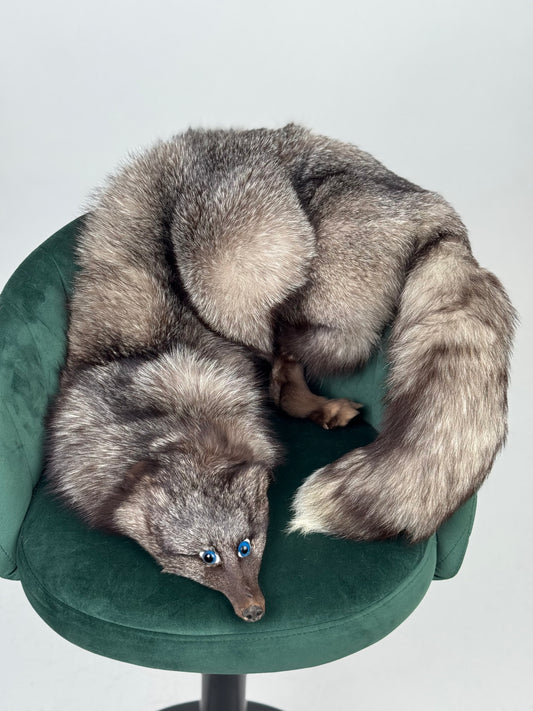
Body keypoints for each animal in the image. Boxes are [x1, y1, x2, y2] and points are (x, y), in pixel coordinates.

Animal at [45, 124, 516, 621]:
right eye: (205, 558)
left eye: (245, 547)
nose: (253, 612)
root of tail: (425, 203)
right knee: (295, 367)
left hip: (228, 263)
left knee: (298, 348)